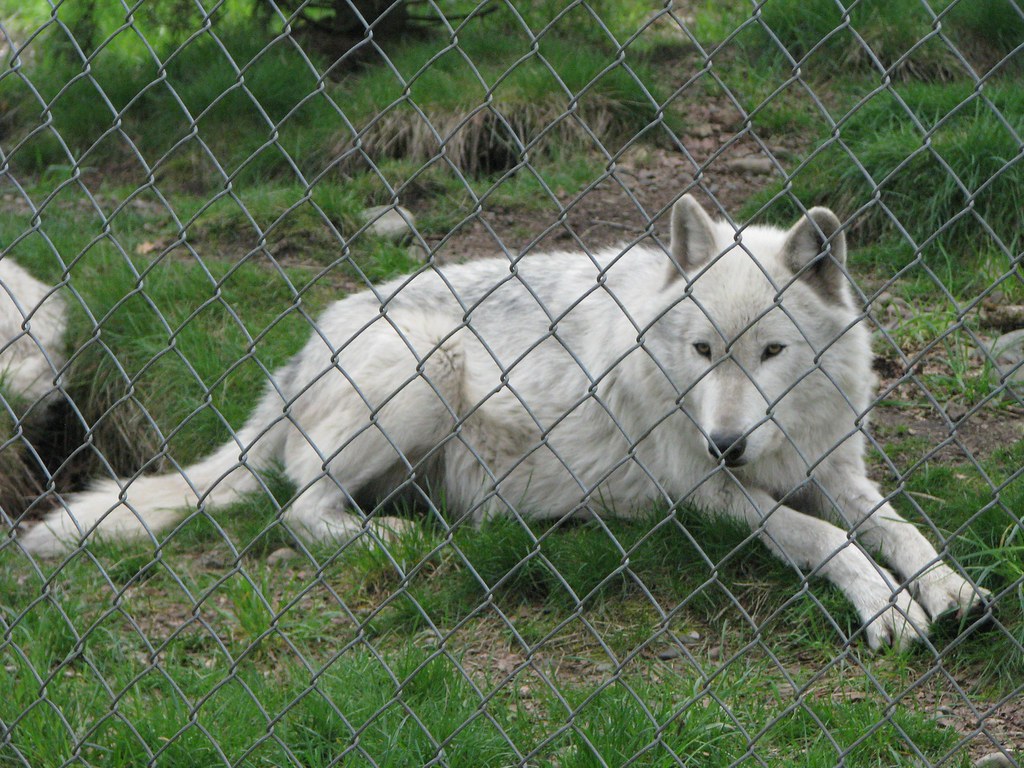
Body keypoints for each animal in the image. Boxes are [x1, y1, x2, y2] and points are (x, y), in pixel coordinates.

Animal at [21, 195, 986, 649]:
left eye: (773, 352)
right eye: (705, 350)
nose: (726, 442)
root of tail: (303, 348)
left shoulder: (834, 472)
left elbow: (899, 528)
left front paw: (949, 589)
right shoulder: (708, 496)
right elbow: (825, 540)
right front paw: (886, 607)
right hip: (429, 368)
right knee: (298, 510)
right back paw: (395, 539)